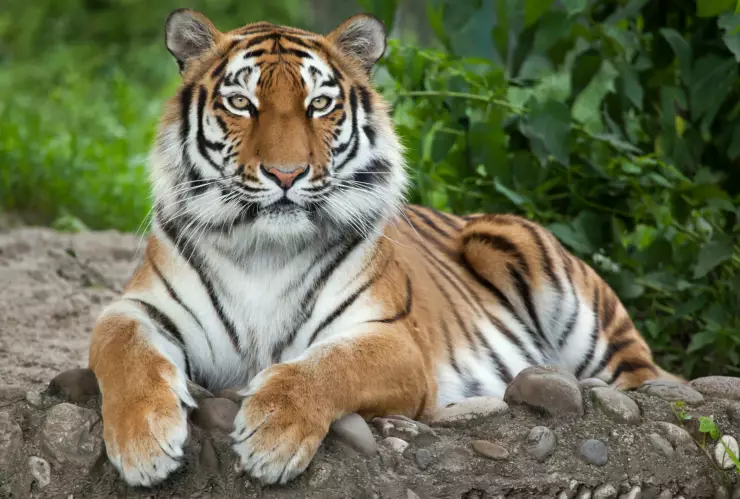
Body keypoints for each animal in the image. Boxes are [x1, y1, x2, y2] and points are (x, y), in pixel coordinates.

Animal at [88, 8, 679, 488]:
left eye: (319, 104)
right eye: (241, 103)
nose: (286, 174)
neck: (264, 251)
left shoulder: (394, 340)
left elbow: (326, 366)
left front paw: (272, 435)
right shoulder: (139, 308)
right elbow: (124, 349)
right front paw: (144, 444)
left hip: (539, 270)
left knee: (647, 378)